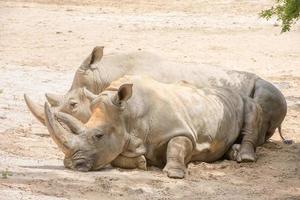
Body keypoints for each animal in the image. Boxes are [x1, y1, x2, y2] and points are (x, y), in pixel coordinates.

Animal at [43, 75, 262, 178]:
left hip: (244, 99)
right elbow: (117, 156)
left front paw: (174, 174)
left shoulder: (182, 131)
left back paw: (245, 158)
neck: (128, 114)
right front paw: (141, 162)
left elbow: (177, 145)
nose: (70, 165)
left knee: (253, 111)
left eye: (98, 136)